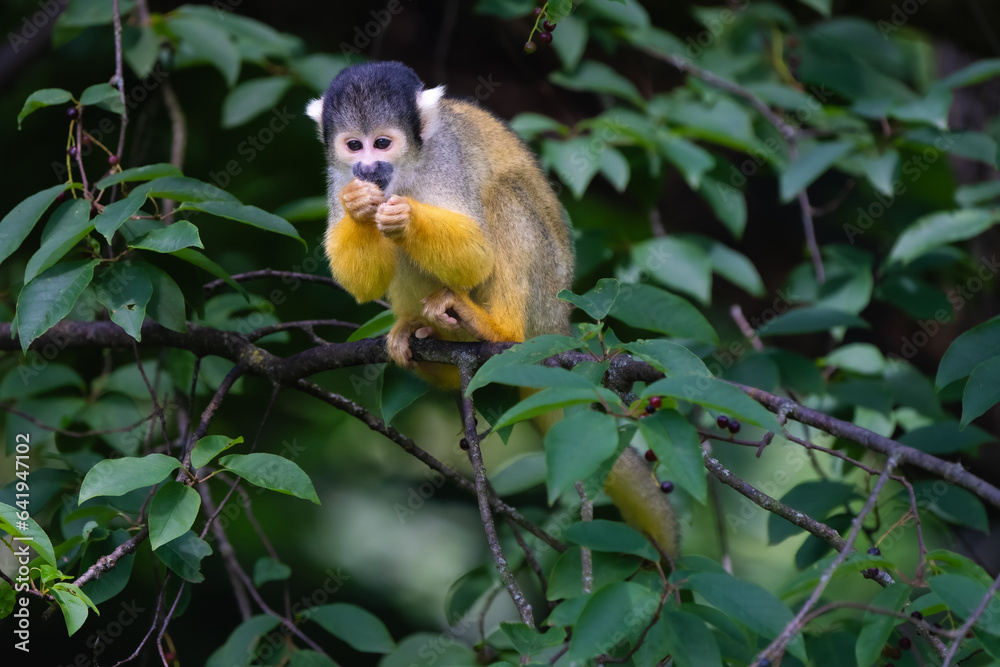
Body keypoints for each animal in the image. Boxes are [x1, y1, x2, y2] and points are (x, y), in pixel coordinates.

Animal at [306, 61, 574, 387]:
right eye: (354, 145)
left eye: (382, 143)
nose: (368, 168)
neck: (407, 168)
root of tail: (560, 325)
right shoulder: (340, 177)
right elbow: (364, 284)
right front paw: (358, 206)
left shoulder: (445, 156)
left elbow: (476, 256)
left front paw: (406, 217)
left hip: (546, 301)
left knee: (505, 193)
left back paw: (500, 329)